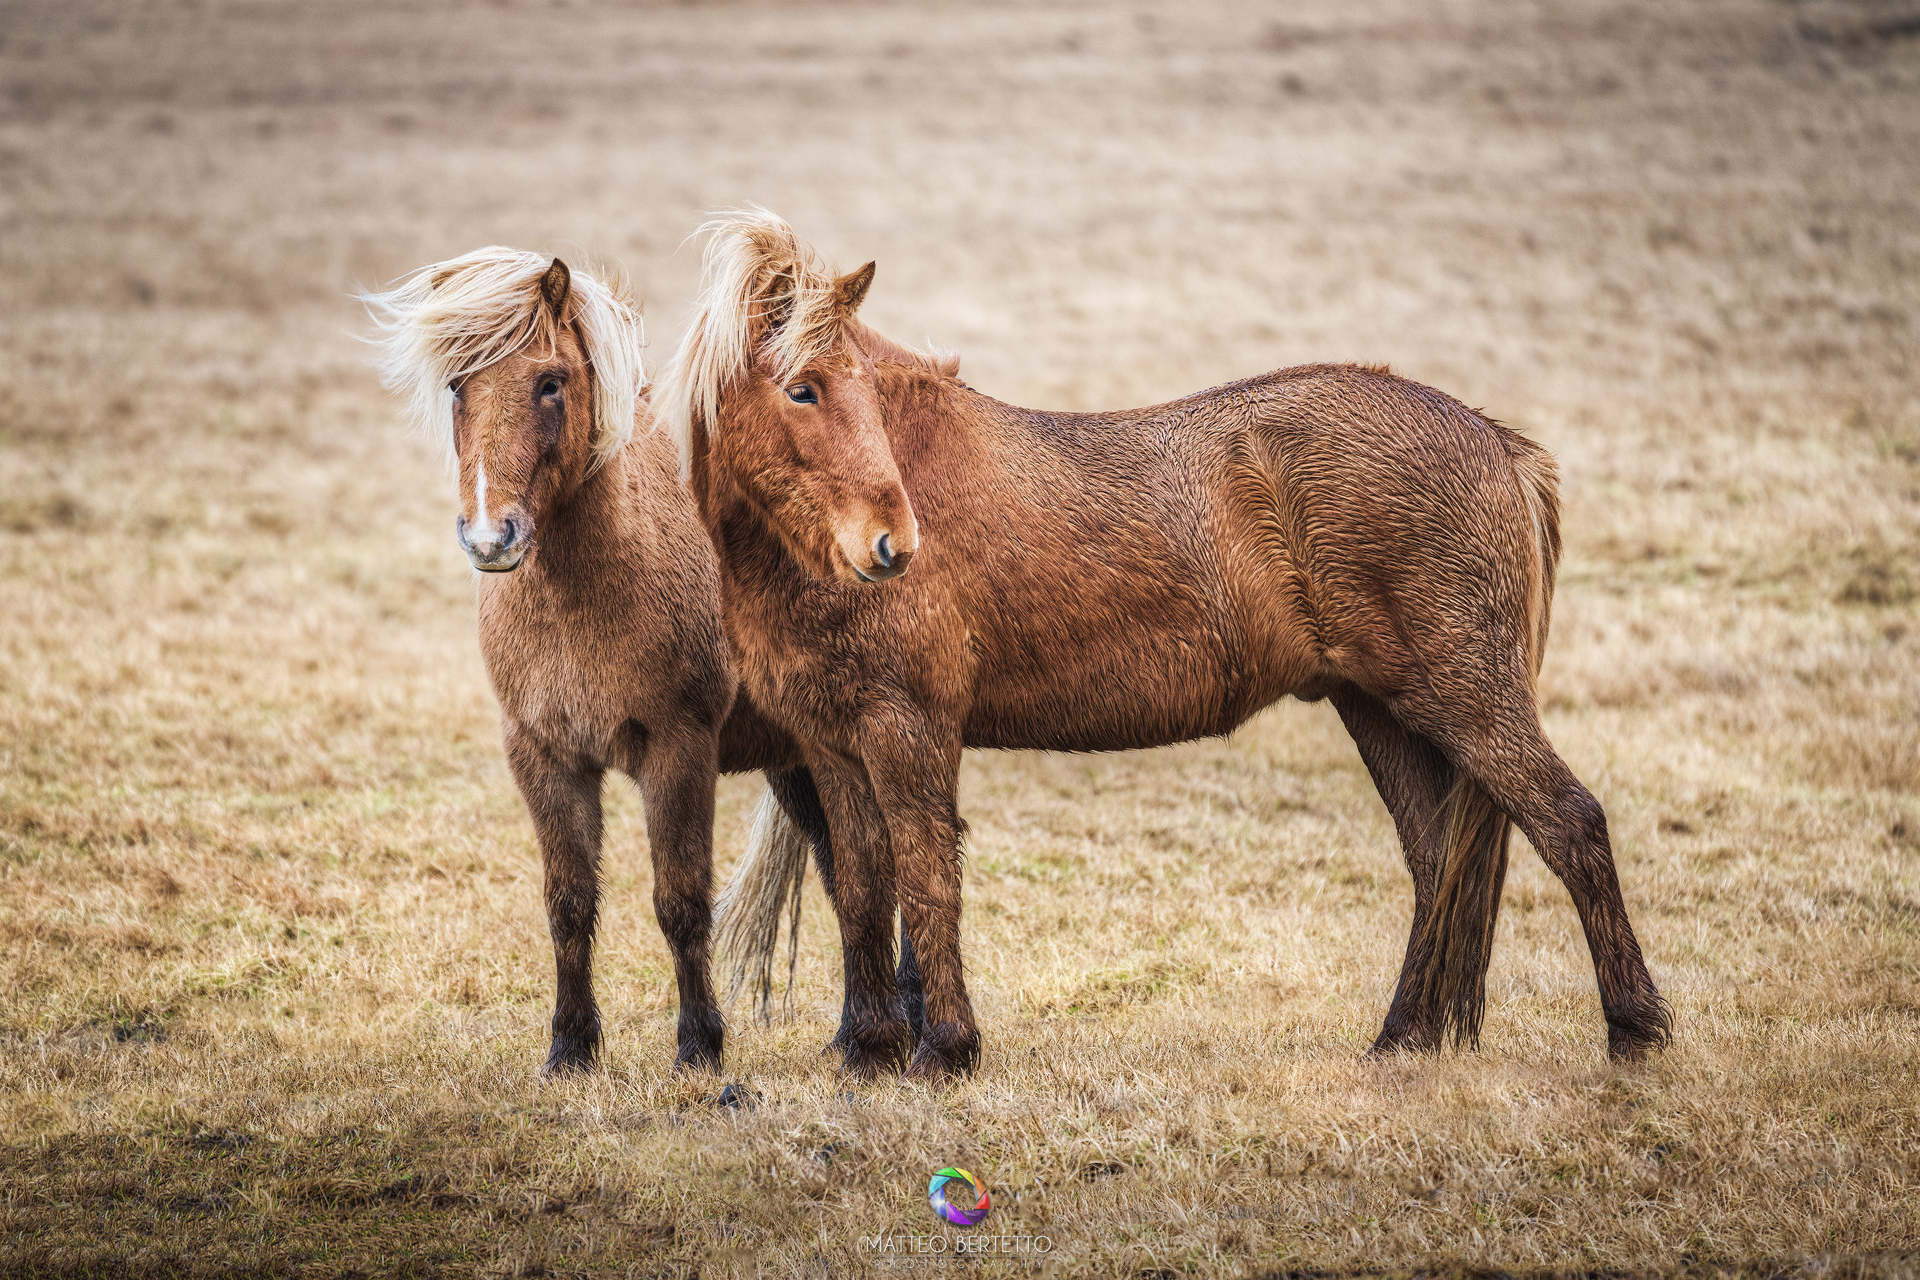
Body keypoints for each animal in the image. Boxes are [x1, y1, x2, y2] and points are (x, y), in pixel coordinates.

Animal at [361, 246, 833, 1075]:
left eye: (550, 382)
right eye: (457, 384)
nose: (491, 538)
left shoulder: (678, 753)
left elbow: (680, 903)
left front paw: (700, 1049)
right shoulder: (543, 756)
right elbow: (568, 903)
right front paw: (571, 1047)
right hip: (794, 760)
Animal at [662, 209, 1673, 1083]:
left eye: (862, 391)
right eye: (802, 388)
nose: (891, 545)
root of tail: (1501, 444)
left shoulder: (908, 730)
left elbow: (927, 878)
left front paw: (944, 1051)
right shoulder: (833, 743)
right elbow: (867, 890)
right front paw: (869, 1052)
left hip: (1466, 700)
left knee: (1572, 825)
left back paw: (1635, 1033)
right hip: (1385, 711)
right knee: (1438, 863)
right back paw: (1402, 1040)